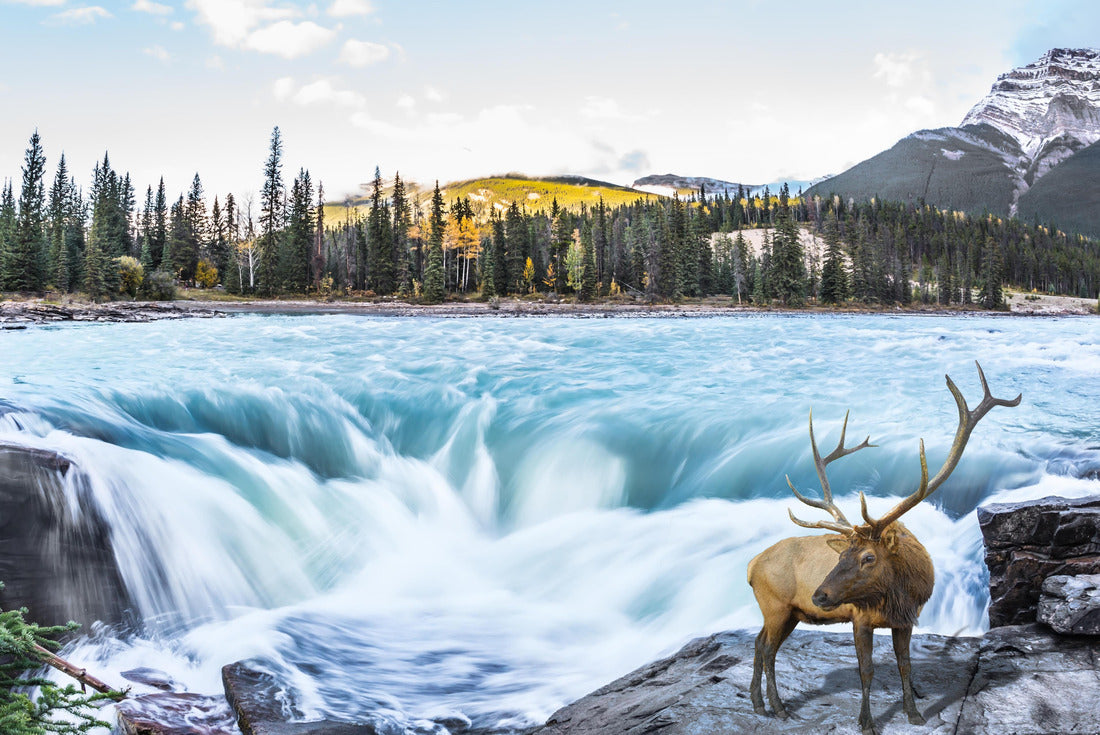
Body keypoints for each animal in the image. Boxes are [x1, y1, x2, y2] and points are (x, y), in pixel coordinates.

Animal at [747, 362, 1020, 735]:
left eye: (868, 557)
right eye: (841, 554)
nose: (819, 595)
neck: (898, 592)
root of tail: (750, 567)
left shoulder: (906, 619)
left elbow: (905, 665)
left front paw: (914, 713)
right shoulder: (860, 617)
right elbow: (867, 670)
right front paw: (867, 722)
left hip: (785, 611)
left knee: (759, 642)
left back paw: (759, 704)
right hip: (777, 605)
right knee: (768, 648)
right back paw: (778, 707)